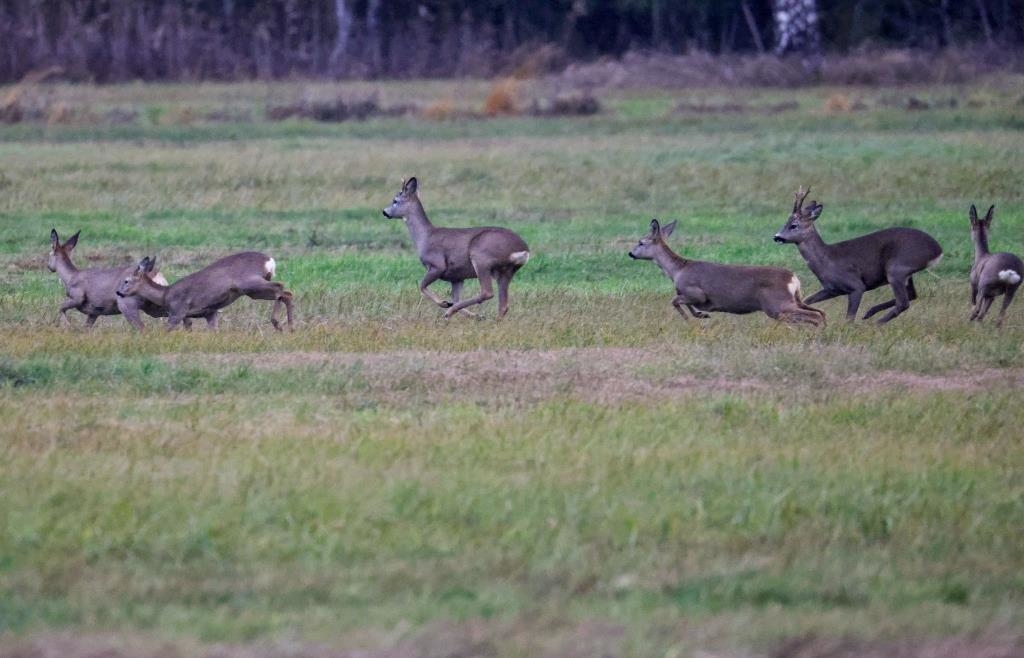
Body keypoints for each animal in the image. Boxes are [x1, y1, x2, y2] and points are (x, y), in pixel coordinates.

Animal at [116, 252, 294, 330]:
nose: (119, 293)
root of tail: (269, 260)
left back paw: (278, 324)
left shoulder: (178, 311)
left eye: (126, 280)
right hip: (253, 291)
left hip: (249, 283)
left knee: (281, 288)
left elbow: (166, 331)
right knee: (286, 293)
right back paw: (290, 327)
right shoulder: (209, 312)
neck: (165, 295)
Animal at [381, 177, 530, 319]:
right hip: (506, 272)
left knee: (487, 292)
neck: (425, 237)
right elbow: (456, 299)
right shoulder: (457, 278)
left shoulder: (437, 265)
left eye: (395, 200)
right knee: (503, 305)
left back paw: (450, 312)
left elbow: (422, 286)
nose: (384, 212)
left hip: (481, 257)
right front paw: (471, 314)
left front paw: (444, 303)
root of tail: (523, 249)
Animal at [629, 219, 826, 326]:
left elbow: (675, 301)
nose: (630, 253)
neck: (678, 270)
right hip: (795, 300)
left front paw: (694, 319)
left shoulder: (697, 293)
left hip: (776, 304)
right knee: (821, 313)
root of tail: (793, 278)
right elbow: (683, 302)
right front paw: (701, 315)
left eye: (641, 242)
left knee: (815, 315)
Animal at [773, 186, 943, 323]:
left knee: (903, 302)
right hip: (905, 273)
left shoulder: (856, 285)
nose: (776, 236)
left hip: (898, 267)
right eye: (785, 223)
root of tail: (937, 250)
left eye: (793, 225)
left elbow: (849, 318)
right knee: (912, 295)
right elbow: (807, 300)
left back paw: (875, 323)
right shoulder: (831, 289)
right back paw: (869, 313)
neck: (827, 260)